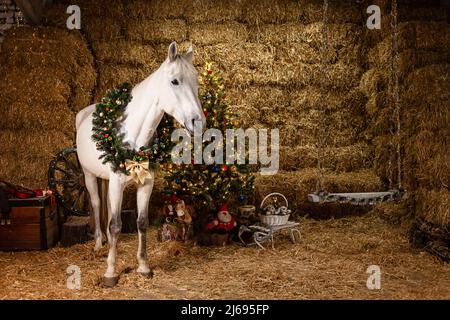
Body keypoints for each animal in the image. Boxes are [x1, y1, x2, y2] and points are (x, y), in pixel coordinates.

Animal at [75, 42, 206, 284]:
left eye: (196, 79)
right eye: (175, 81)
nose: (198, 122)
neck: (132, 135)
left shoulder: (145, 184)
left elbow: (141, 222)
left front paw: (144, 266)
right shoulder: (117, 183)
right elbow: (115, 225)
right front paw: (111, 272)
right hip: (89, 176)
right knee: (97, 205)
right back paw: (98, 244)